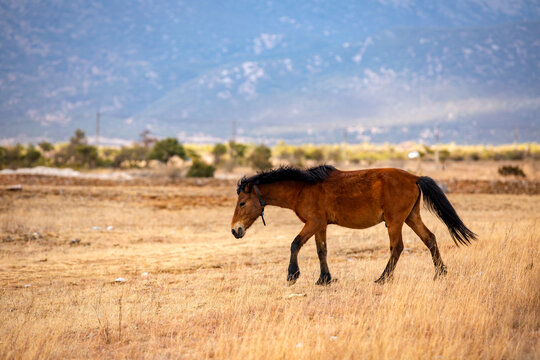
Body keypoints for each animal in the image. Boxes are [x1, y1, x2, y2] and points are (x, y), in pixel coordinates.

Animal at [230, 165, 474, 286]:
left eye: (242, 203)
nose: (235, 230)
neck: (302, 188)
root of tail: (415, 177)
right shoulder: (320, 225)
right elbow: (321, 251)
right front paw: (324, 279)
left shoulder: (313, 223)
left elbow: (295, 244)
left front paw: (292, 275)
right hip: (411, 217)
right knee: (430, 239)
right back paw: (440, 273)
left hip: (395, 222)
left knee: (397, 248)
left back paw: (383, 278)